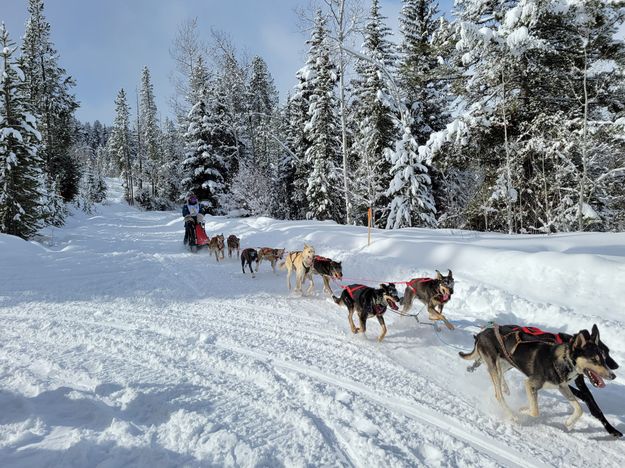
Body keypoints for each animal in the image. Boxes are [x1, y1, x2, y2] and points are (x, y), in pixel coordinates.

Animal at [458, 324, 616, 430]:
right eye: (594, 360)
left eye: (603, 358)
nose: (613, 375)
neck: (563, 360)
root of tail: (482, 333)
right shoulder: (530, 383)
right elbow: (535, 411)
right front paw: (522, 410)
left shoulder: (562, 387)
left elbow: (579, 409)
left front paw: (569, 422)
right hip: (495, 365)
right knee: (498, 395)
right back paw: (512, 415)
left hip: (505, 362)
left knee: (499, 375)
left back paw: (506, 387)